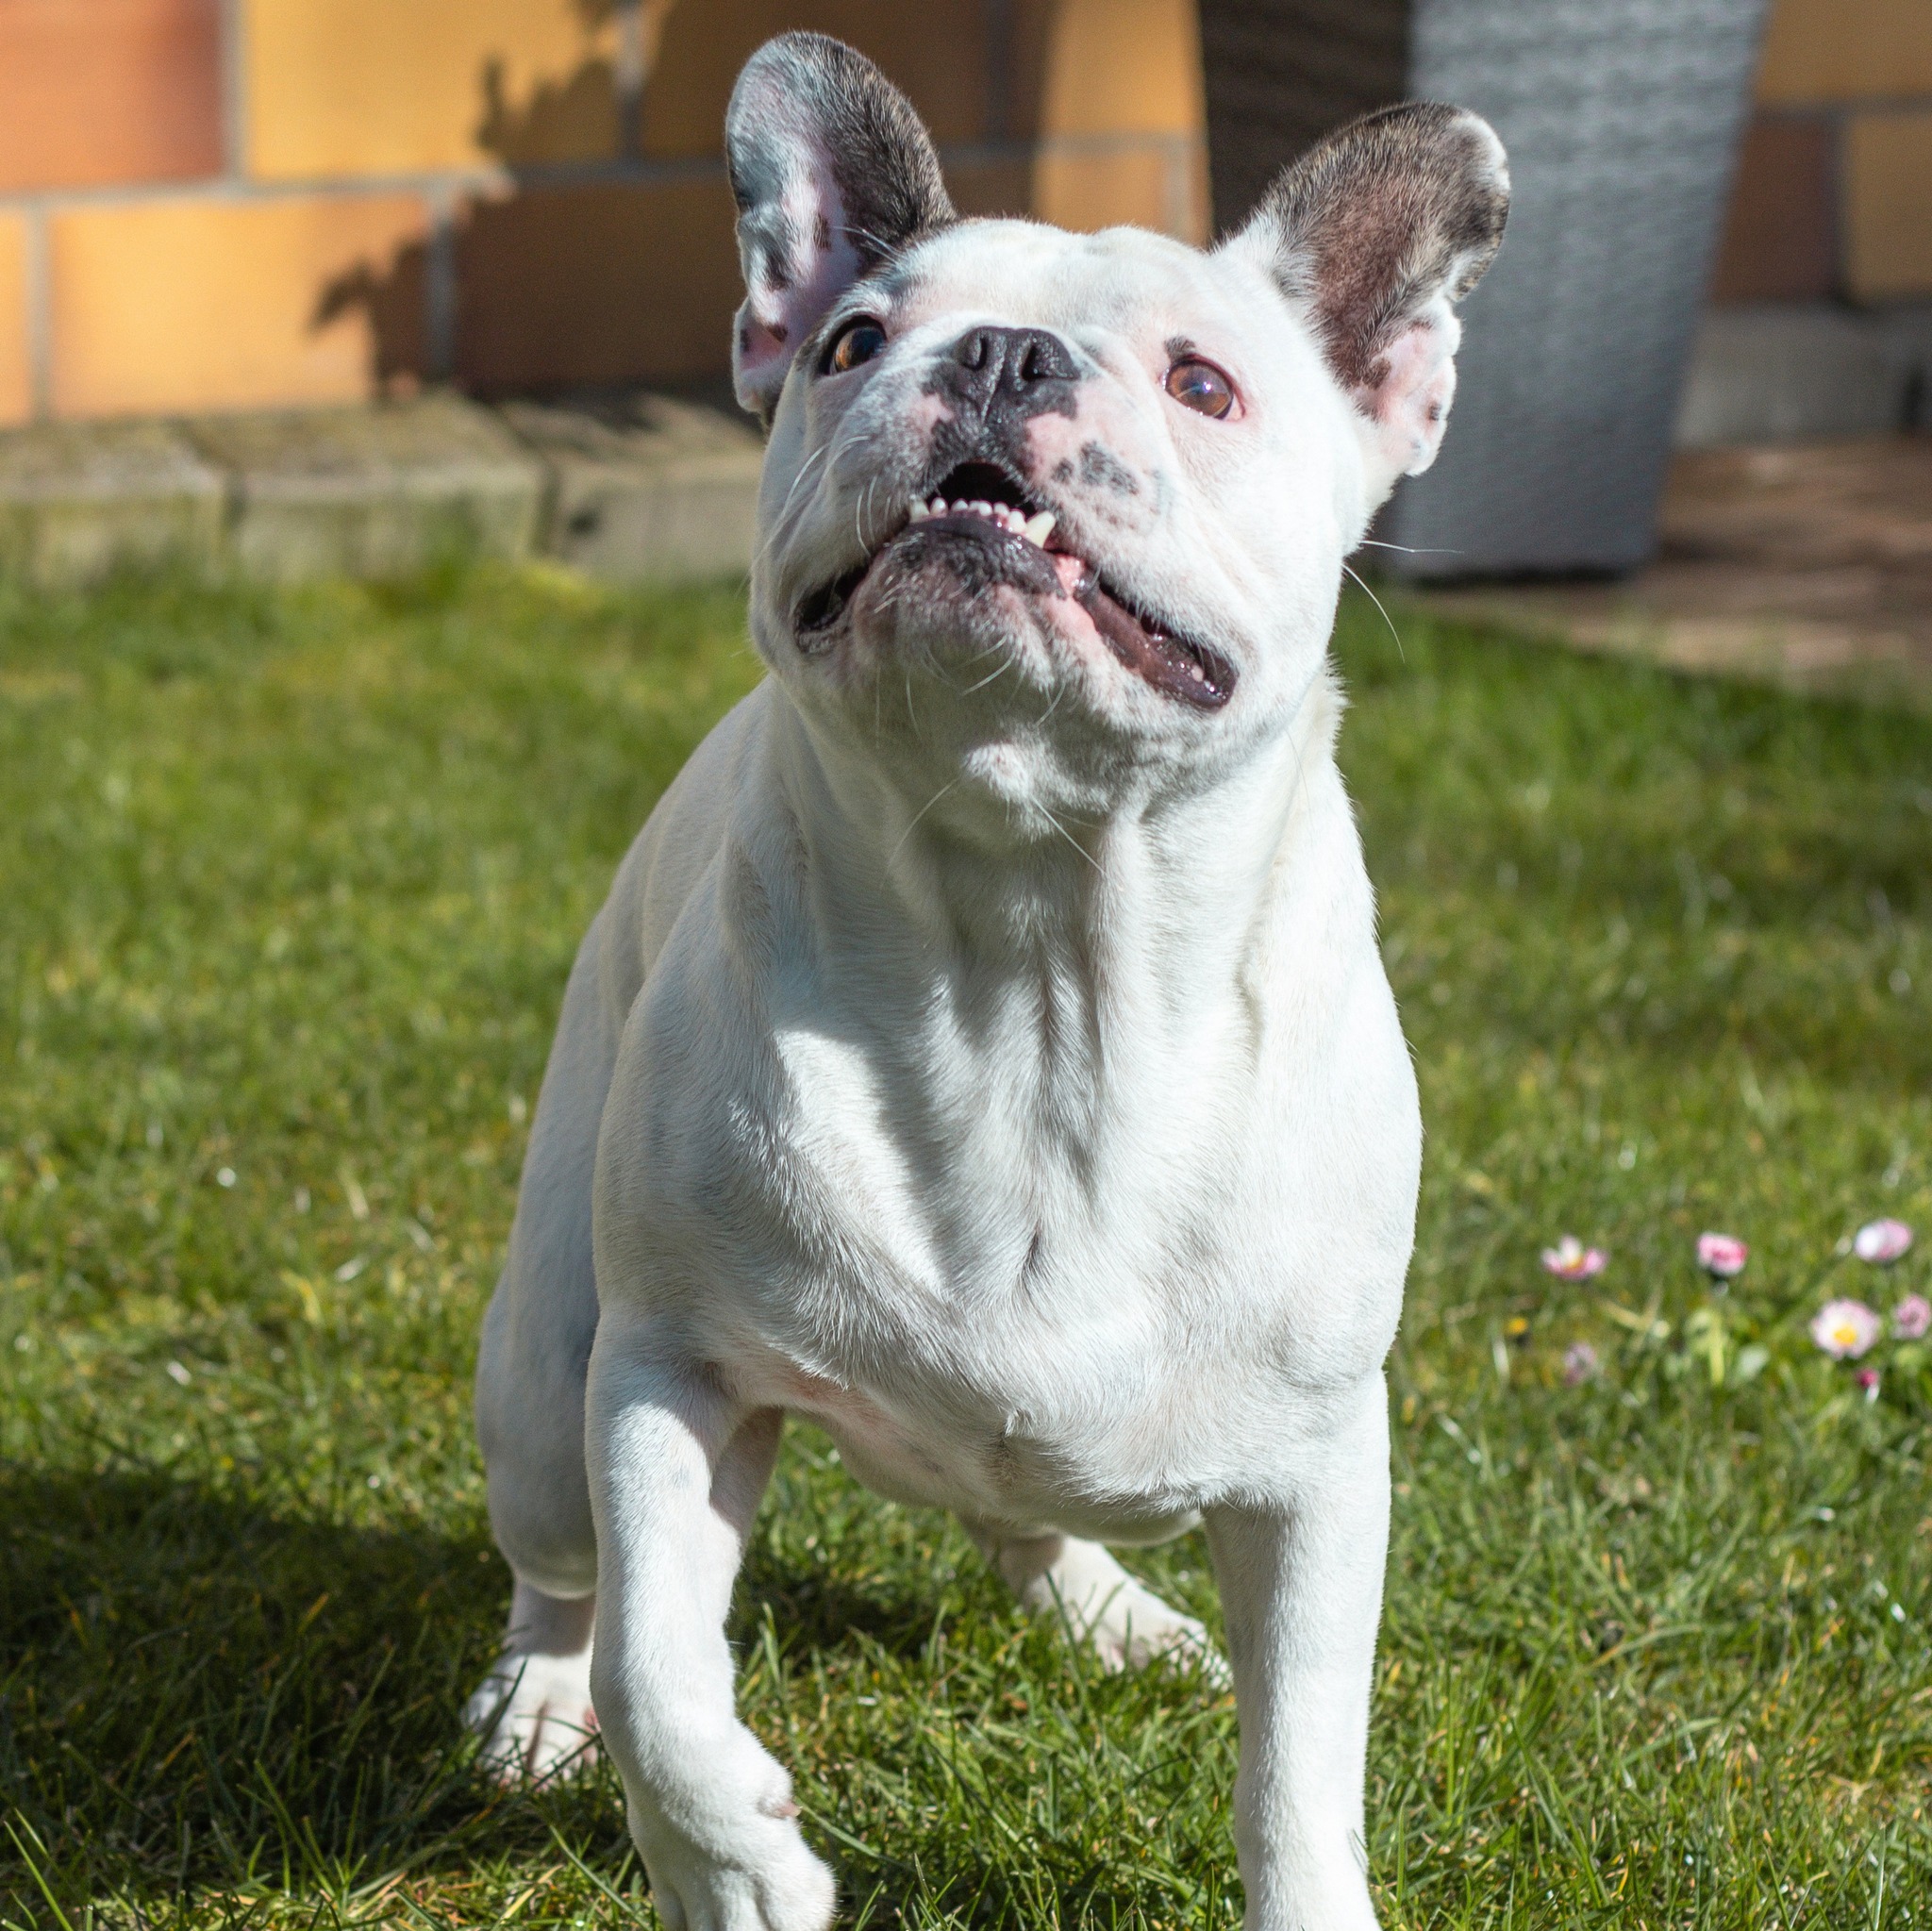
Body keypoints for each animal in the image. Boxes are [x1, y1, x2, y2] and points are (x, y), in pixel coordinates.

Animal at [466, 32, 1506, 1931]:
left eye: (1202, 384)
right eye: (850, 342)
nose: (1002, 354)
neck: (1032, 943)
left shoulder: (1324, 1476)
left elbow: (1299, 1761)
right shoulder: (665, 1372)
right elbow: (663, 1669)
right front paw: (734, 1859)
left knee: (1034, 1513)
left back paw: (1109, 1612)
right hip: (544, 1370)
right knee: (568, 1573)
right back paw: (533, 1704)